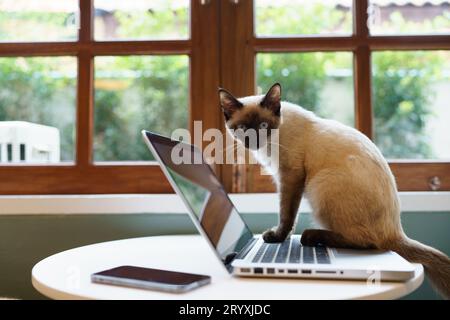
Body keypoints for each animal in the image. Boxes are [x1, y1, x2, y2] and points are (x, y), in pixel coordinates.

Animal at [218, 83, 450, 300]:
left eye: (263, 126)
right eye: (242, 128)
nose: (253, 141)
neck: (272, 141)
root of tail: (396, 231)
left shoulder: (290, 177)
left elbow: (286, 213)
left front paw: (277, 237)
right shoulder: (285, 178)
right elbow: (288, 214)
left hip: (320, 185)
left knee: (367, 241)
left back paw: (311, 237)